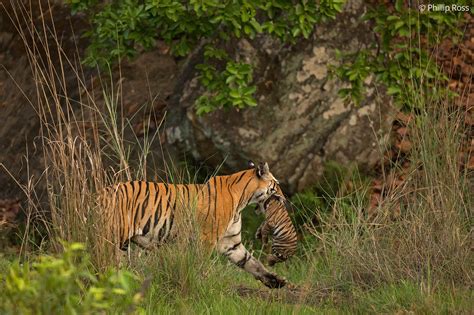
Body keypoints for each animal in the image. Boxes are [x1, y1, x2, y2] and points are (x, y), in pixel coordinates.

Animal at [100, 163, 286, 288]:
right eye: (276, 185)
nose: (285, 200)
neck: (243, 199)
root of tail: (100, 193)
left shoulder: (231, 243)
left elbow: (250, 262)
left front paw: (275, 280)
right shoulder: (207, 238)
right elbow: (200, 262)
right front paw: (198, 281)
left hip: (122, 244)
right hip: (112, 238)